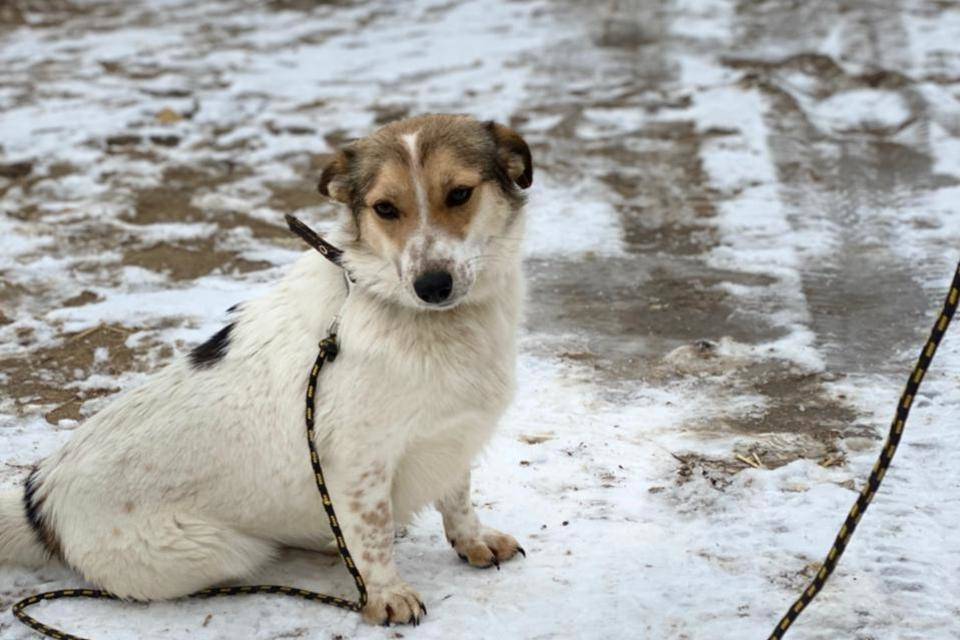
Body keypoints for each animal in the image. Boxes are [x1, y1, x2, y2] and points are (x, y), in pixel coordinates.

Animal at [0, 114, 532, 624]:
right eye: (385, 209)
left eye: (459, 193)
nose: (432, 285)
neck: (414, 315)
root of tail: (39, 500)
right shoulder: (359, 464)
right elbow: (373, 537)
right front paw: (385, 594)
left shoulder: (452, 434)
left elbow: (457, 498)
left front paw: (472, 540)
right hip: (215, 548)